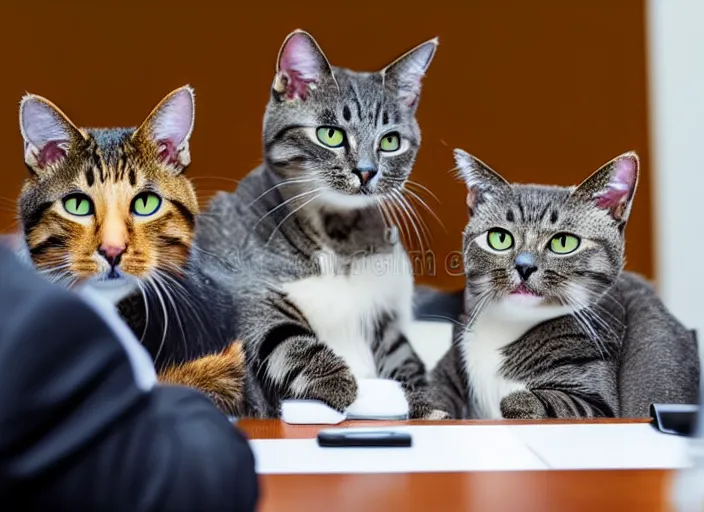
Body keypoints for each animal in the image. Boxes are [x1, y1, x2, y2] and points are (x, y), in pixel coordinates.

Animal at [194, 29, 446, 420]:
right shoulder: (240, 281)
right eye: (331, 134)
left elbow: (400, 350)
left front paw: (425, 399)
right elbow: (281, 330)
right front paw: (336, 379)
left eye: (390, 141)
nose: (366, 171)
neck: (333, 230)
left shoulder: (380, 312)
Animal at [428, 149, 700, 420]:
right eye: (500, 238)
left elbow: (531, 400)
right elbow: (430, 394)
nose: (524, 266)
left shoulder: (599, 406)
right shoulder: (449, 367)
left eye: (564, 242)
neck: (507, 327)